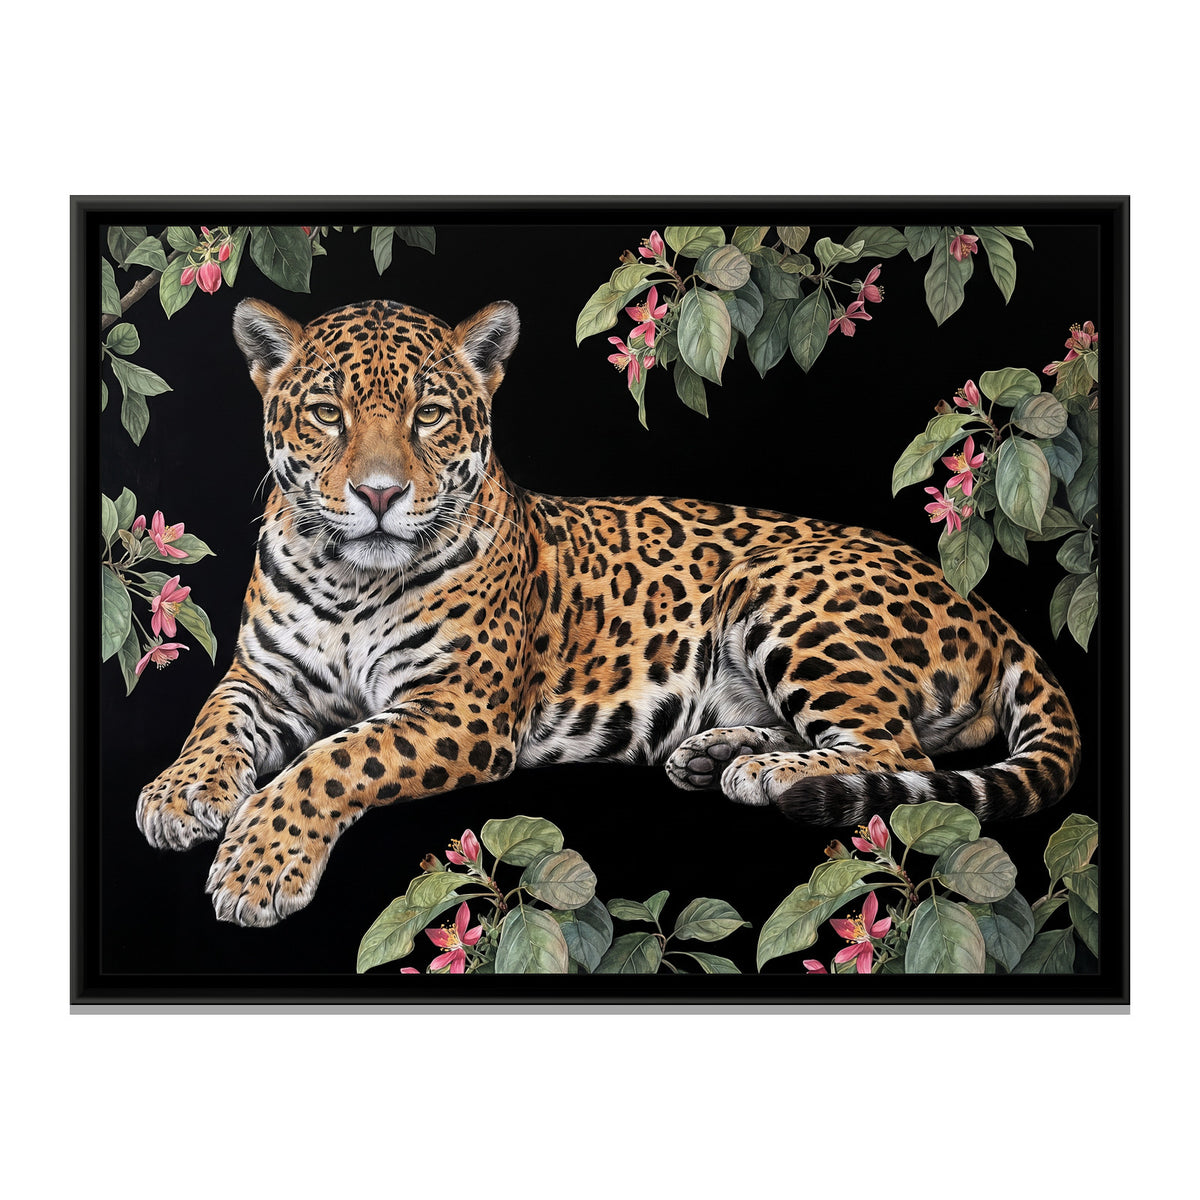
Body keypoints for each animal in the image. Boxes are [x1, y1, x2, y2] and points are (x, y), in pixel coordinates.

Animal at [135, 297, 1081, 927]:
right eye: (327, 413)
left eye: (429, 414)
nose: (377, 495)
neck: (350, 583)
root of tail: (982, 604)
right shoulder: (263, 680)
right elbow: (213, 724)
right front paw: (178, 797)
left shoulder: (458, 710)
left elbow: (333, 761)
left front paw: (257, 867)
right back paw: (719, 755)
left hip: (781, 589)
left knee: (894, 749)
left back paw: (773, 775)